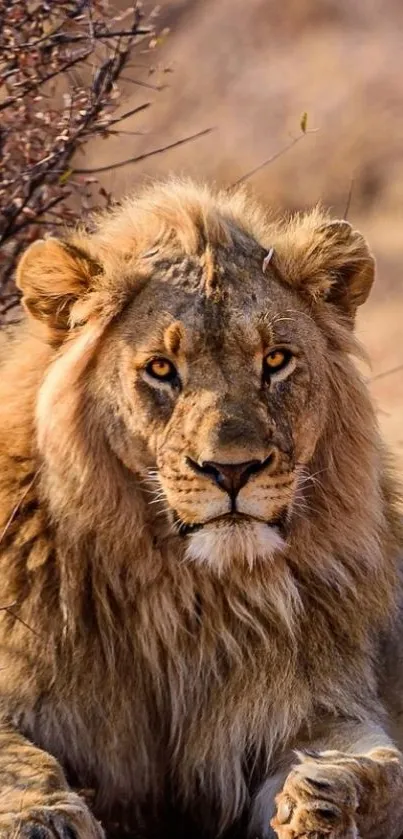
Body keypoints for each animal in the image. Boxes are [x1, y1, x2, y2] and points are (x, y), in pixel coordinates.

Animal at [0, 179, 403, 839]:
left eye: (276, 360)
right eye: (161, 369)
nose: (233, 470)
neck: (185, 592)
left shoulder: (319, 701)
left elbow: (380, 763)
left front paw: (325, 798)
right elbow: (17, 758)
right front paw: (43, 818)